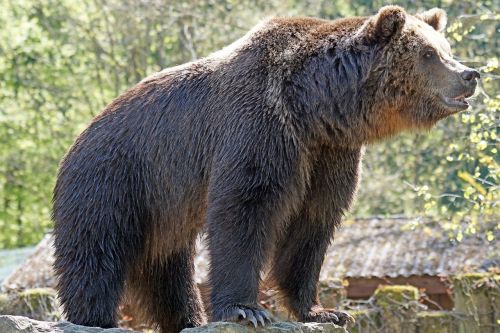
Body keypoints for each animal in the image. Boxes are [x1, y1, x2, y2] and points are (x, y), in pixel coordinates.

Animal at [52, 5, 478, 332]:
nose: (470, 74)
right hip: (115, 177)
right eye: (428, 53)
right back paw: (96, 318)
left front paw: (325, 311)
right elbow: (245, 208)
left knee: (166, 267)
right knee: (96, 249)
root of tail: (80, 136)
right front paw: (247, 309)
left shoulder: (328, 154)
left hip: (164, 205)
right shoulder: (260, 128)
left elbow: (312, 224)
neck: (315, 107)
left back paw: (188, 317)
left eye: (446, 48)